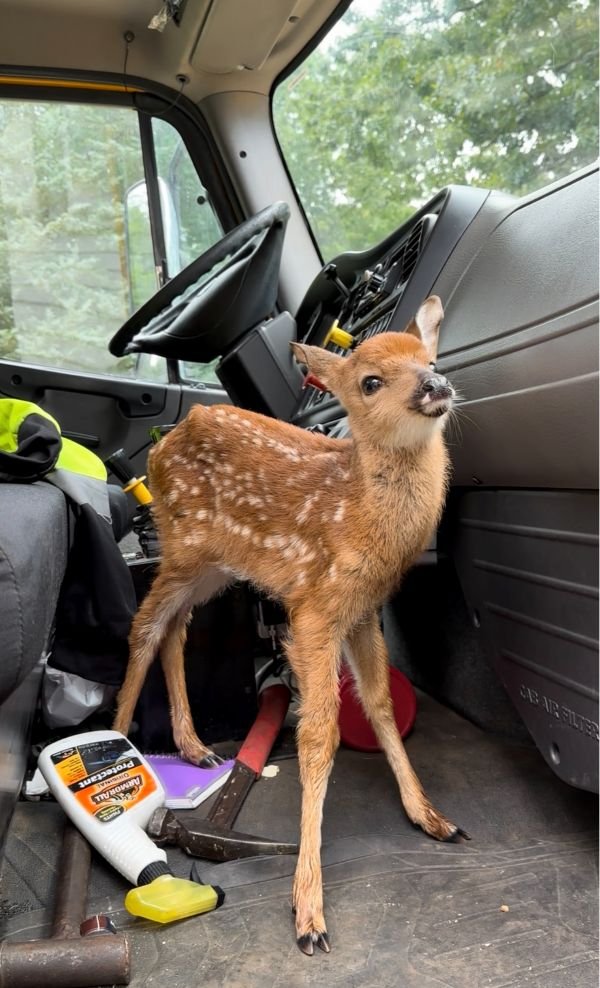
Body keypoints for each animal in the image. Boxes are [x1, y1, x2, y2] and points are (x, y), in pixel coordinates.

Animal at [113, 294, 469, 955]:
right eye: (370, 381)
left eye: (429, 358)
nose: (435, 385)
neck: (359, 511)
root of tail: (158, 448)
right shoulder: (314, 606)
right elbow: (318, 733)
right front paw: (309, 911)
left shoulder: (362, 609)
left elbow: (380, 703)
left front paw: (430, 815)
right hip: (182, 546)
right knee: (145, 626)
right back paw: (115, 740)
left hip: (214, 564)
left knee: (176, 628)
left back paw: (194, 746)